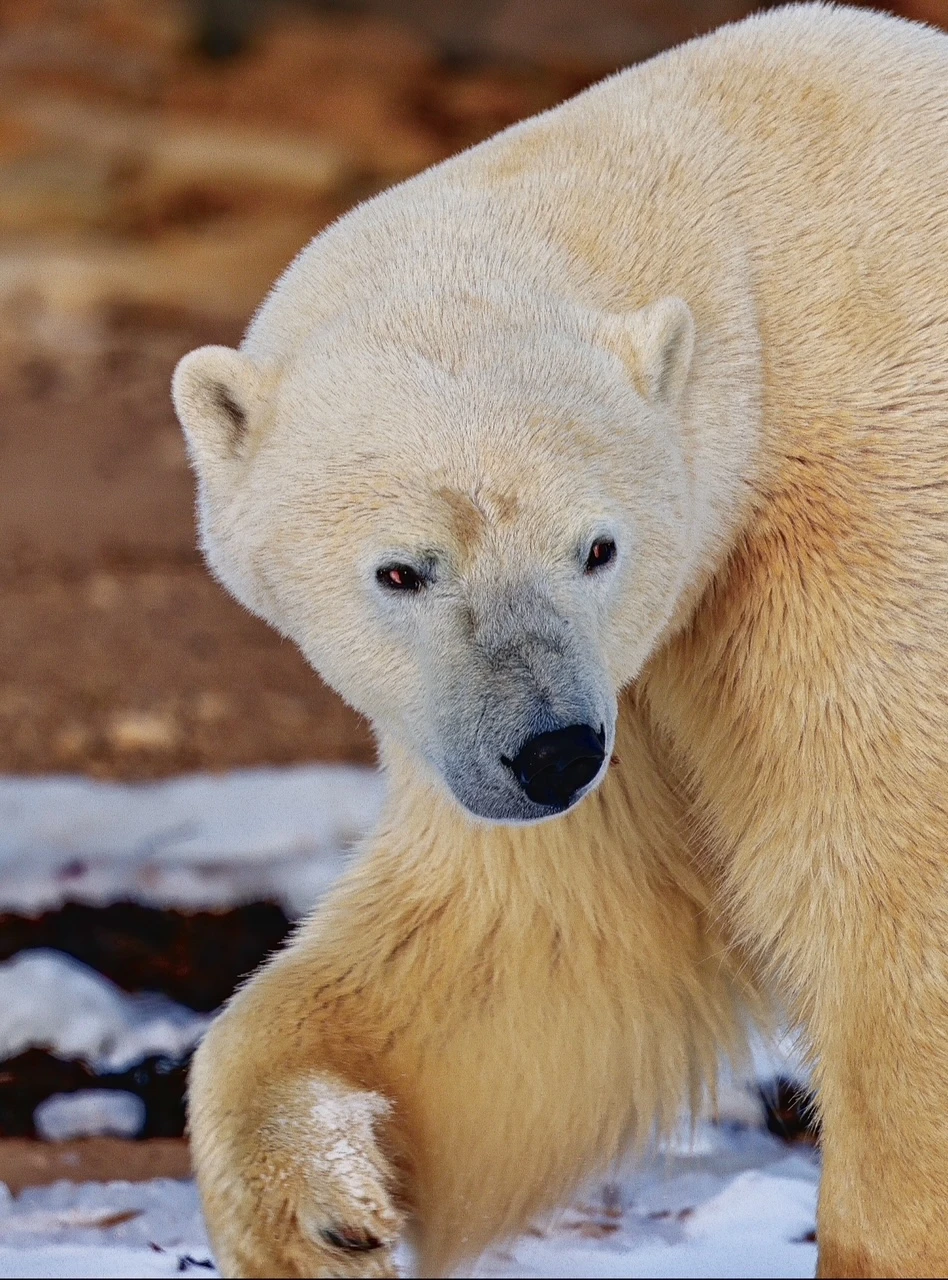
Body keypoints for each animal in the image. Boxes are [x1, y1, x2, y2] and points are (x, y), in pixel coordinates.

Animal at [172, 4, 948, 1276]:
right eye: (402, 568)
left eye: (596, 546)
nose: (550, 753)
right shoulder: (639, 674)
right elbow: (550, 944)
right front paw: (322, 1206)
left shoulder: (866, 523)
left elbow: (892, 894)